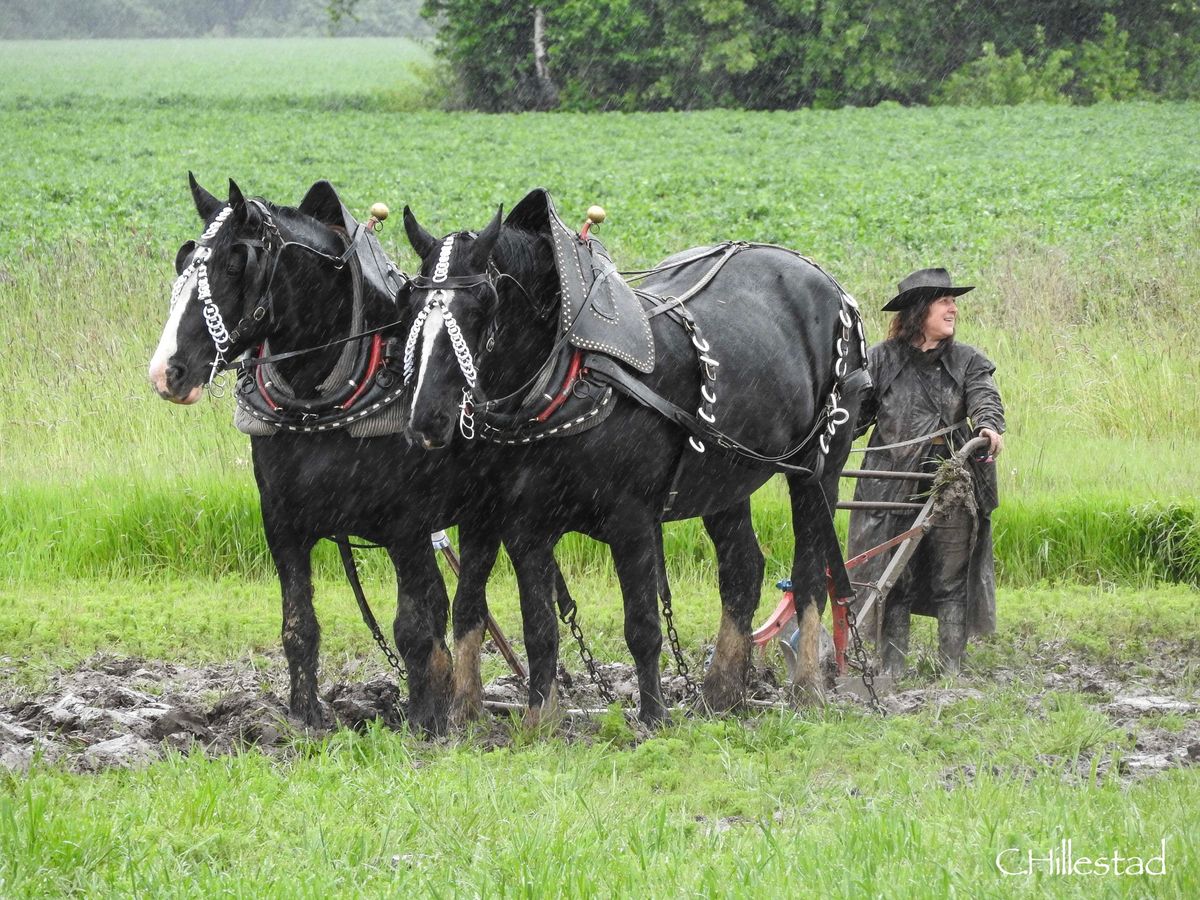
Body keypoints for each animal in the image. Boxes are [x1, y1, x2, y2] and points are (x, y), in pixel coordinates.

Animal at [408, 202, 868, 724]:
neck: (569, 376)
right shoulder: (525, 526)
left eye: (482, 303)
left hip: (819, 468)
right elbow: (539, 627)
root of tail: (831, 285)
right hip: (723, 478)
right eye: (412, 301)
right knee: (742, 571)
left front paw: (654, 717)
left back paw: (808, 689)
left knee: (811, 574)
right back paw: (721, 693)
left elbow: (643, 624)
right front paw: (539, 721)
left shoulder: (630, 520)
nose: (428, 416)